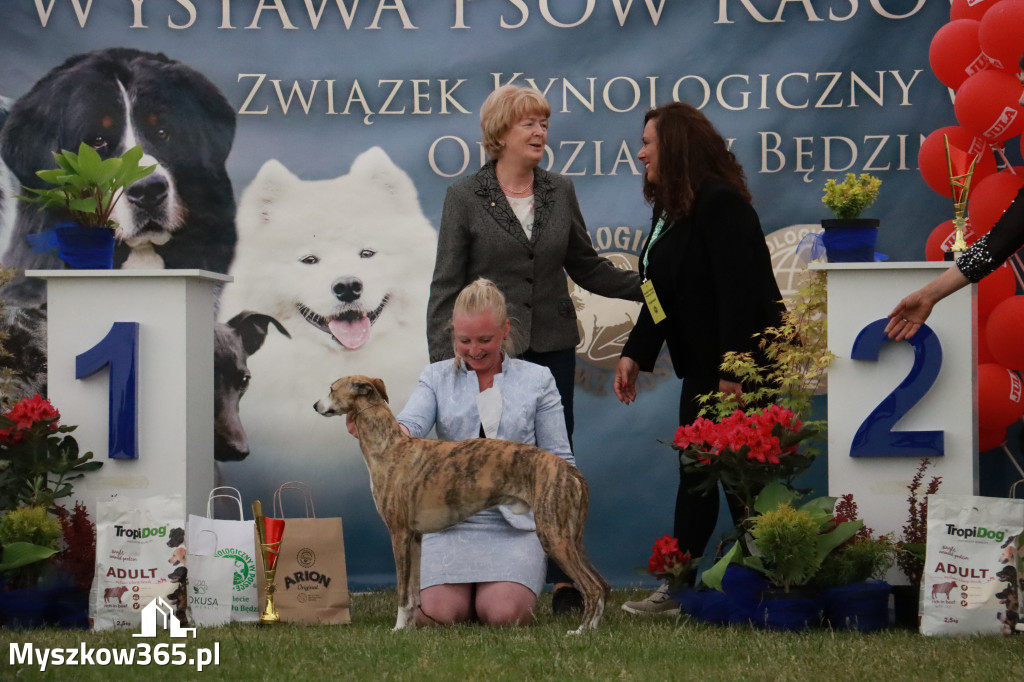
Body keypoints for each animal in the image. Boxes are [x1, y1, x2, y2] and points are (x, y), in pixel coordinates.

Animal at [313, 372, 606, 630]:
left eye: (331, 388)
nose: (315, 405)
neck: (390, 447)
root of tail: (570, 470)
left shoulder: (399, 534)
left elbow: (403, 594)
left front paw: (397, 629)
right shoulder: (415, 537)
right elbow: (415, 594)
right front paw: (410, 628)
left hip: (553, 536)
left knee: (592, 587)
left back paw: (580, 631)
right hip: (571, 538)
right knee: (602, 584)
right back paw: (592, 628)